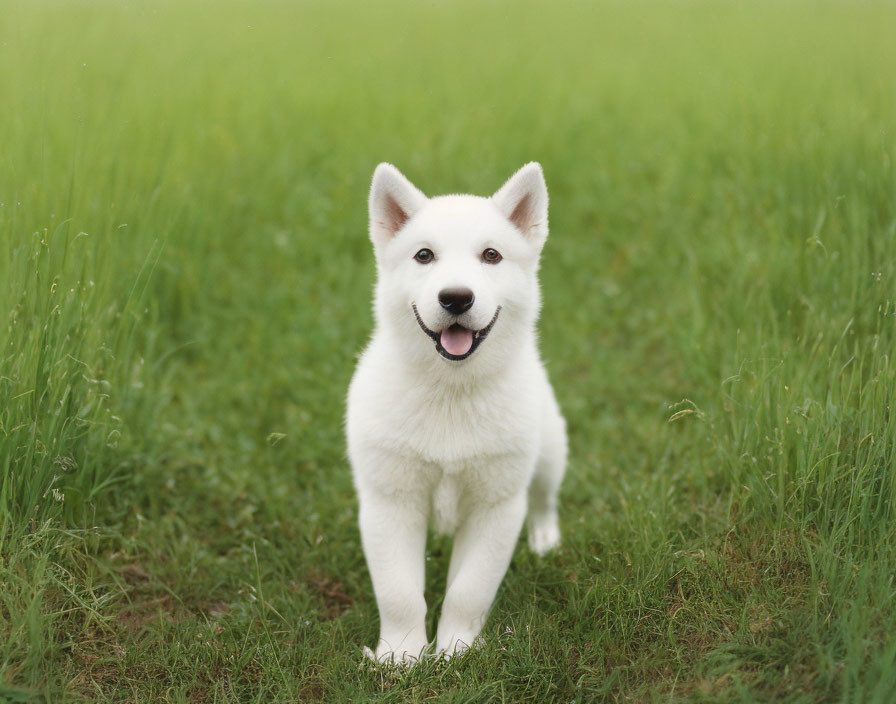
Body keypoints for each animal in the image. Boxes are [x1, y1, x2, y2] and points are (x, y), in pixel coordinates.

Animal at [344, 162, 568, 664]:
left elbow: (470, 591)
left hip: (549, 453)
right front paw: (401, 658)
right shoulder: (390, 501)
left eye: (491, 255)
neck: (449, 392)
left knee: (544, 500)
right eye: (424, 255)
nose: (456, 298)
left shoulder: (497, 504)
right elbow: (399, 592)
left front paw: (456, 653)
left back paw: (545, 542)